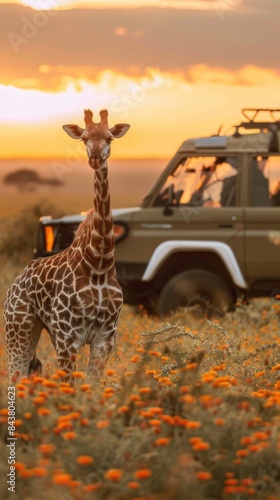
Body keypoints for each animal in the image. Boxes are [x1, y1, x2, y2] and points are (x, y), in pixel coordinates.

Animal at [3, 108, 130, 382]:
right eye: (83, 138)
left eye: (109, 138)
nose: (95, 157)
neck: (99, 262)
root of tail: (16, 281)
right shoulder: (66, 337)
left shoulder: (106, 337)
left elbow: (92, 385)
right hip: (18, 326)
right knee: (15, 376)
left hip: (38, 329)